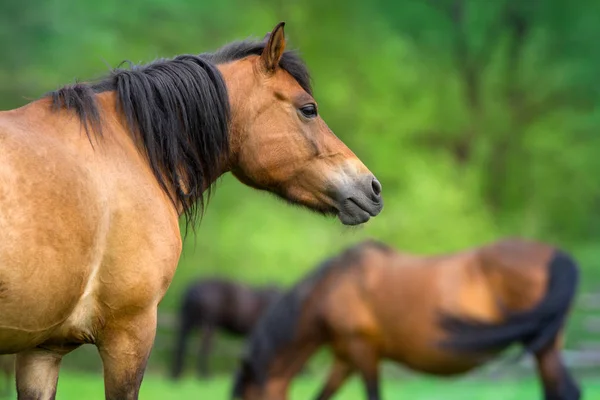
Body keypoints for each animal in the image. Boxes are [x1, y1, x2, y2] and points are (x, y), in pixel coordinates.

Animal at [232, 239, 580, 398]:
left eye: (248, 397)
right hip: (547, 345)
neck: (333, 287)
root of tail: (557, 256)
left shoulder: (364, 352)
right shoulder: (344, 360)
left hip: (543, 347)